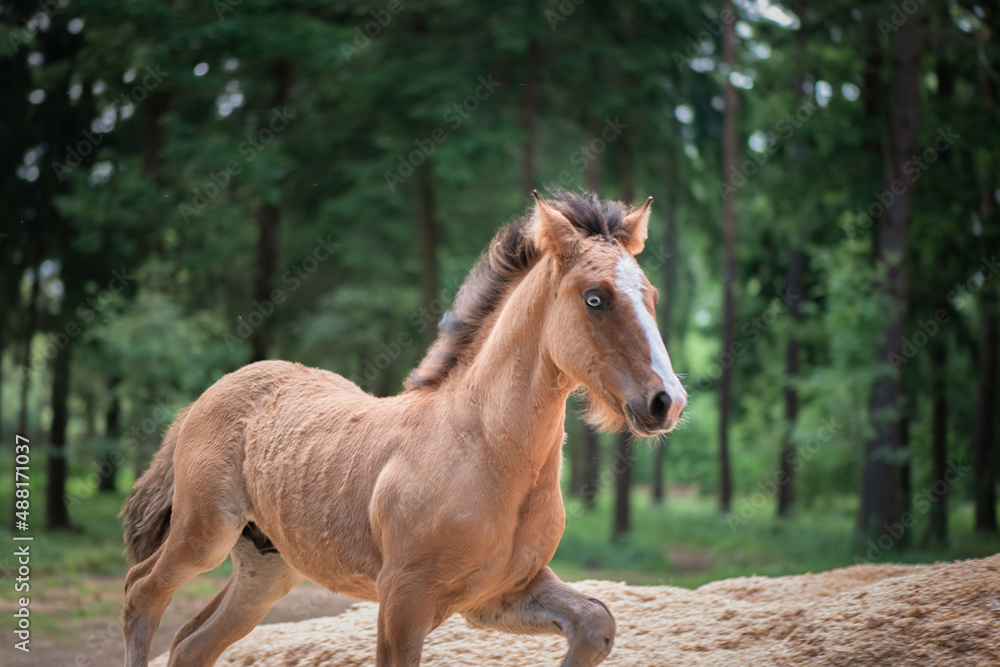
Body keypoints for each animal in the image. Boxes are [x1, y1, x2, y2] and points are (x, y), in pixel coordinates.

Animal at [121, 189, 687, 667]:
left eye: (653, 296)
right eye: (595, 298)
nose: (666, 401)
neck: (485, 451)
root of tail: (208, 395)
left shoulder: (498, 593)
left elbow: (595, 622)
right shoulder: (404, 601)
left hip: (268, 568)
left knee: (191, 642)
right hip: (204, 533)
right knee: (139, 593)